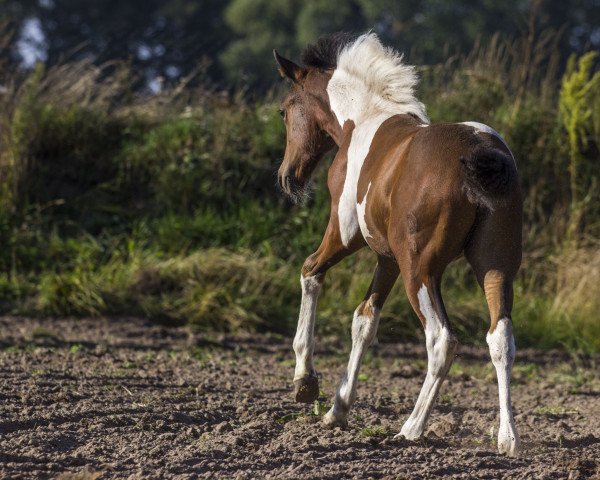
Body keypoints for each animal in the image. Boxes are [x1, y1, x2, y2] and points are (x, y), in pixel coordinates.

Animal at [274, 31, 524, 456]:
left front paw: (305, 383)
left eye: (285, 110)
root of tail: (480, 151)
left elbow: (310, 271)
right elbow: (364, 320)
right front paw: (337, 409)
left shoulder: (345, 233)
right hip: (495, 266)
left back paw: (411, 428)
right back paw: (507, 439)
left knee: (441, 340)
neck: (363, 120)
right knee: (500, 337)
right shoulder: (386, 258)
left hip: (420, 271)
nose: (288, 176)